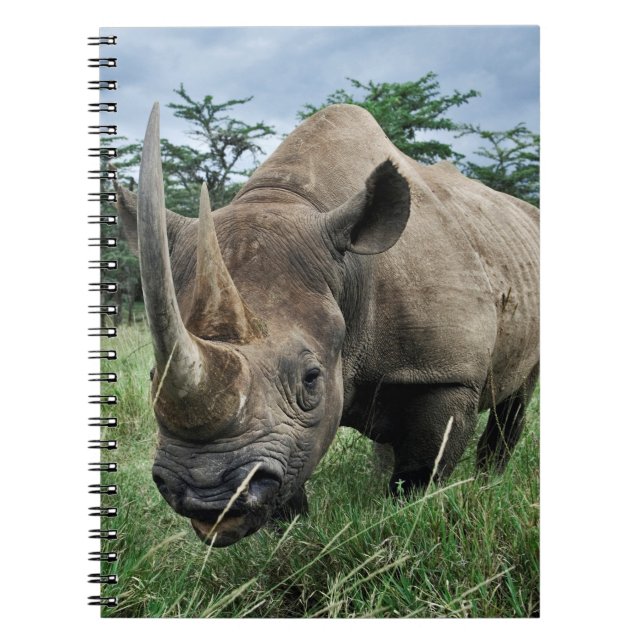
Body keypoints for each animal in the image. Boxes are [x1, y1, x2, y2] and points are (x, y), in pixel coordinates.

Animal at [116, 102, 539, 547]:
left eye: (311, 378)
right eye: (151, 377)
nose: (207, 496)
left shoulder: (447, 374)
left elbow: (421, 471)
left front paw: (405, 516)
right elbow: (293, 473)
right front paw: (291, 535)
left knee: (517, 396)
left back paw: (489, 482)